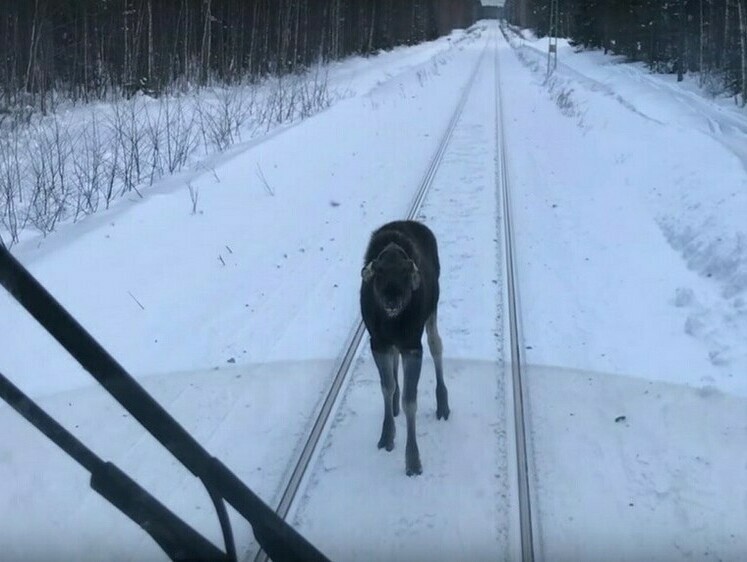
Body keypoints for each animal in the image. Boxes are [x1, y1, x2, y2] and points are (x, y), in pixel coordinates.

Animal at [360, 219, 450, 472]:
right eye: (379, 272)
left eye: (405, 271)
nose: (392, 299)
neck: (392, 322)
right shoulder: (378, 342)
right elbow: (386, 387)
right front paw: (386, 437)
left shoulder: (412, 345)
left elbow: (411, 401)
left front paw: (413, 460)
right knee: (395, 361)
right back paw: (394, 405)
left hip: (432, 311)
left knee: (436, 344)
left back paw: (443, 404)